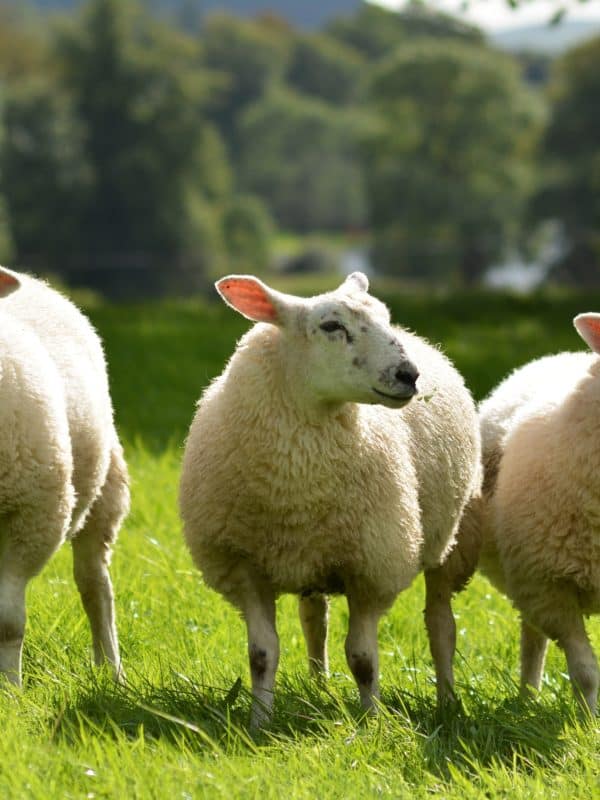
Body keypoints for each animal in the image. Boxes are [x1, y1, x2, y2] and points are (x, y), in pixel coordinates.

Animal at [0, 266, 129, 686]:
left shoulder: (34, 515)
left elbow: (8, 620)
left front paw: (10, 691)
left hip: (104, 490)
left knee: (95, 586)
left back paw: (111, 670)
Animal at [179, 272, 481, 727]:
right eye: (331, 326)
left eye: (384, 318)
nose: (408, 374)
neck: (298, 481)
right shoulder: (245, 566)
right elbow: (261, 655)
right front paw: (258, 723)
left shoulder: (371, 567)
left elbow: (363, 659)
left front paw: (372, 723)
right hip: (311, 555)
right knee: (313, 620)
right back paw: (318, 686)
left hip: (447, 540)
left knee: (441, 625)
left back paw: (446, 700)